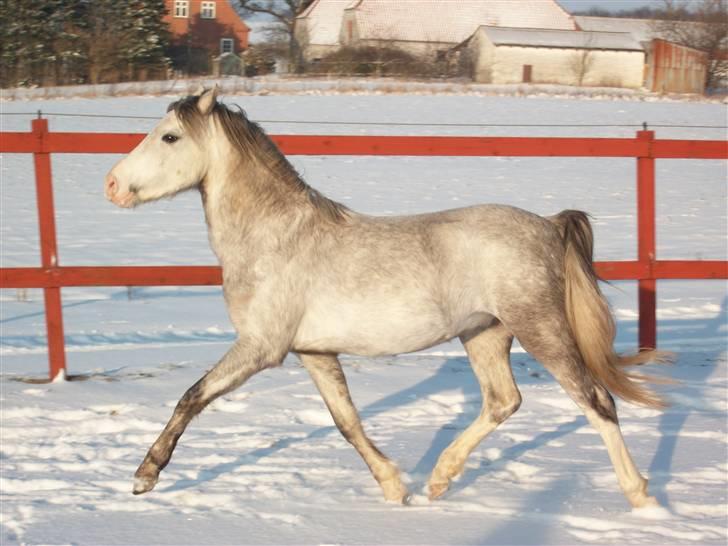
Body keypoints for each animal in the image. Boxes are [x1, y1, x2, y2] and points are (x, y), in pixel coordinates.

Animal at [105, 87, 668, 509]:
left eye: (170, 136)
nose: (111, 185)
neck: (276, 236)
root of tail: (549, 225)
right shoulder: (313, 352)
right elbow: (347, 422)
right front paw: (395, 488)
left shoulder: (261, 347)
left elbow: (191, 397)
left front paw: (144, 476)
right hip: (484, 333)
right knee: (504, 401)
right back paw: (439, 480)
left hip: (541, 328)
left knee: (596, 401)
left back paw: (640, 497)